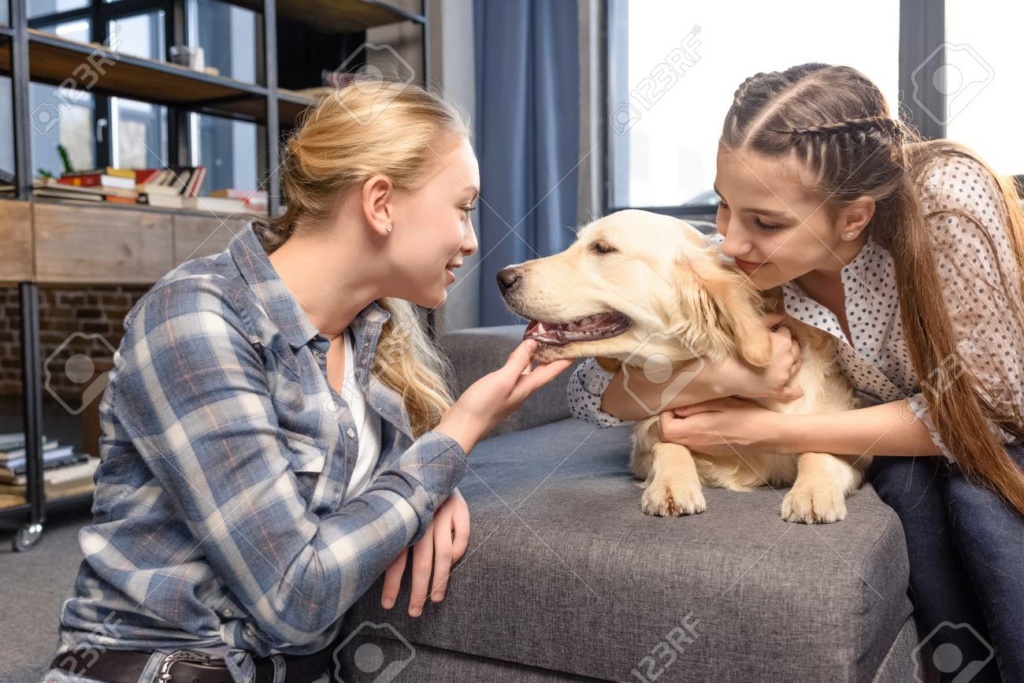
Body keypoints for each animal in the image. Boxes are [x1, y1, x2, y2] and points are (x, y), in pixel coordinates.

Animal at [495, 208, 872, 524]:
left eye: (602, 249)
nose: (502, 277)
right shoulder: (645, 444)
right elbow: (667, 444)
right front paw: (672, 485)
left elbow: (818, 449)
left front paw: (812, 492)